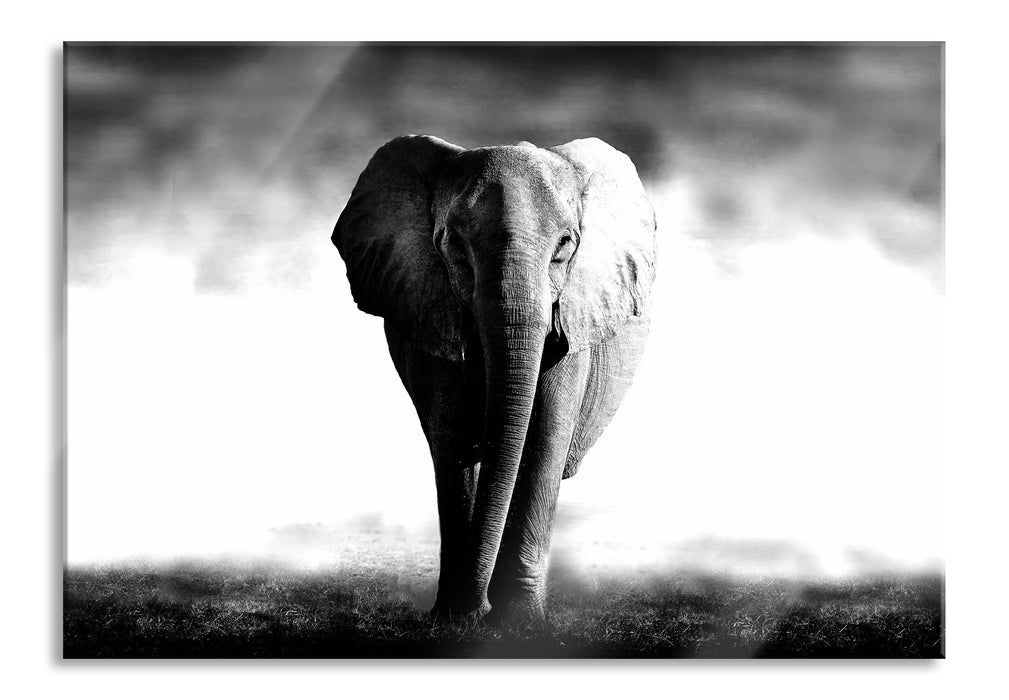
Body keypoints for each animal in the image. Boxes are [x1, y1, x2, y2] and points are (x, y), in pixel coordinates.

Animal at [331, 135, 656, 622]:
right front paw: (455, 618)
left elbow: (544, 437)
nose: (480, 607)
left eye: (565, 245)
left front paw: (519, 623)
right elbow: (451, 437)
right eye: (453, 244)